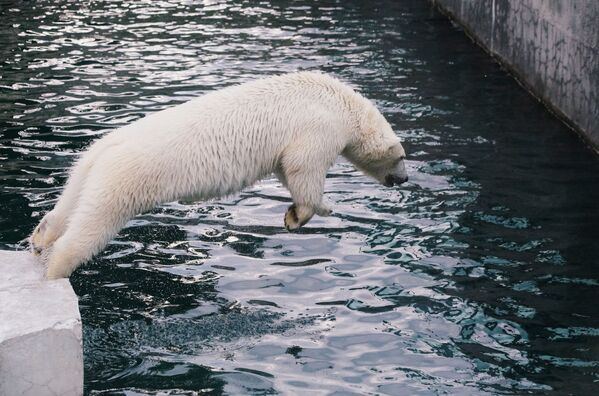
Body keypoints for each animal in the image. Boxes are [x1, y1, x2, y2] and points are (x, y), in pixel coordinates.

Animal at [31, 71, 408, 278]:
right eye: (402, 157)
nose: (405, 179)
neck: (342, 104)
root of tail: (109, 146)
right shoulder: (318, 127)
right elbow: (303, 168)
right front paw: (310, 212)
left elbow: (286, 169)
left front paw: (294, 214)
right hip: (126, 178)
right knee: (93, 225)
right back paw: (55, 269)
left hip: (89, 167)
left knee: (71, 203)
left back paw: (40, 238)